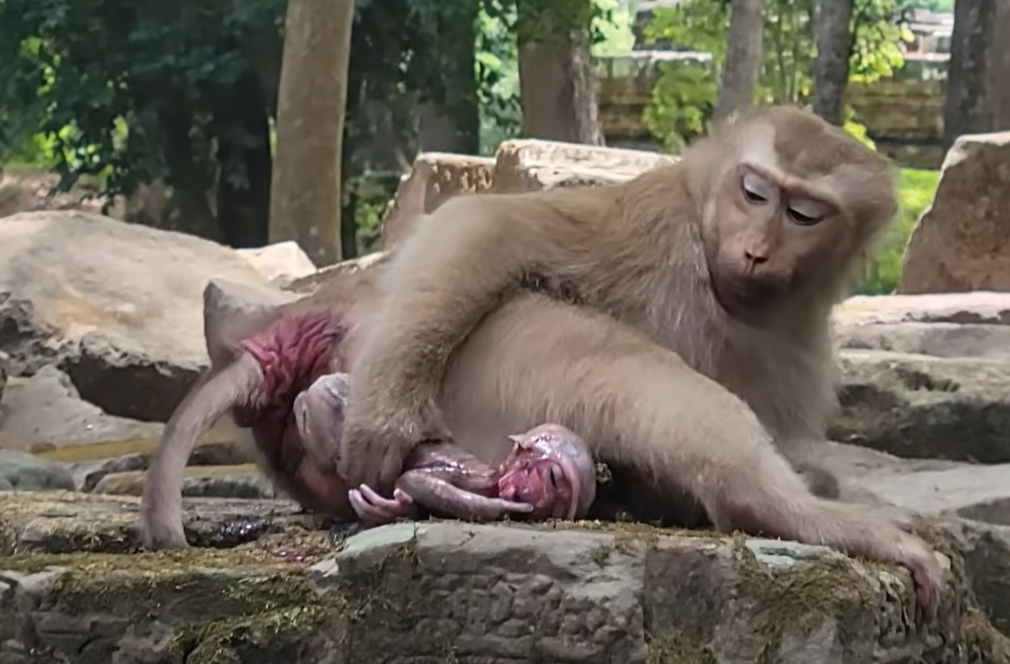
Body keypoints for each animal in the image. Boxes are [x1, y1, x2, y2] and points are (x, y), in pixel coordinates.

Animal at [293, 372, 597, 524]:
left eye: (559, 503)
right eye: (553, 477)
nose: (535, 495)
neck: (496, 475)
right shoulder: (477, 479)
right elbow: (415, 479)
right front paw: (498, 507)